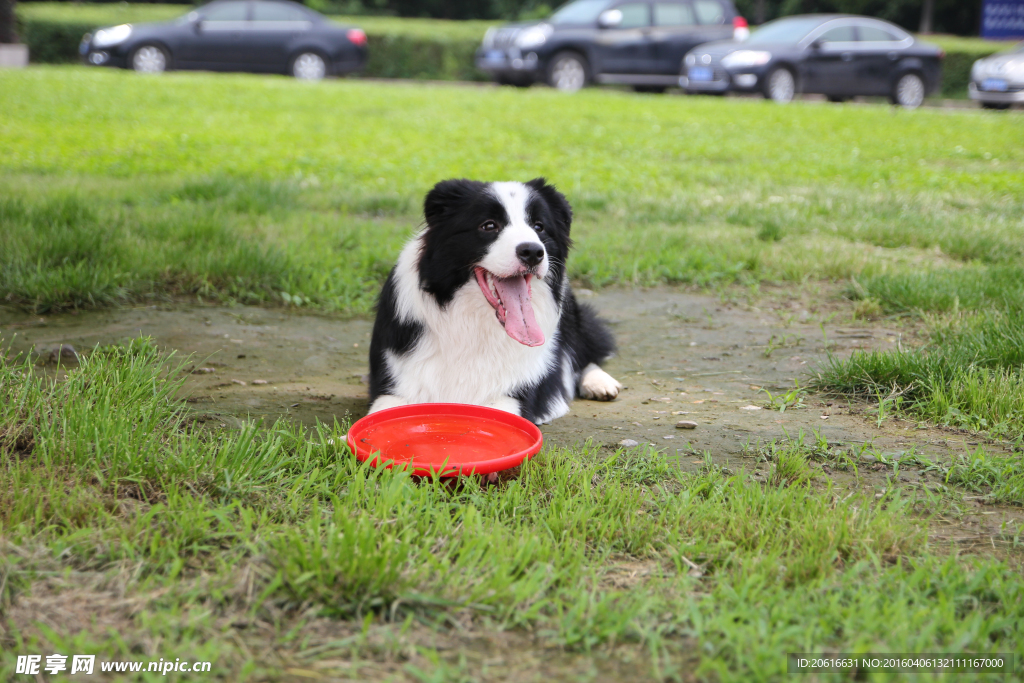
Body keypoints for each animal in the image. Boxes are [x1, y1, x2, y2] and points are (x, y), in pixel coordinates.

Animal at [368, 178, 622, 421]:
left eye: (539, 227)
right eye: (489, 225)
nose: (533, 252)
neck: (473, 326)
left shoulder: (511, 394)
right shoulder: (397, 384)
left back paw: (599, 382)